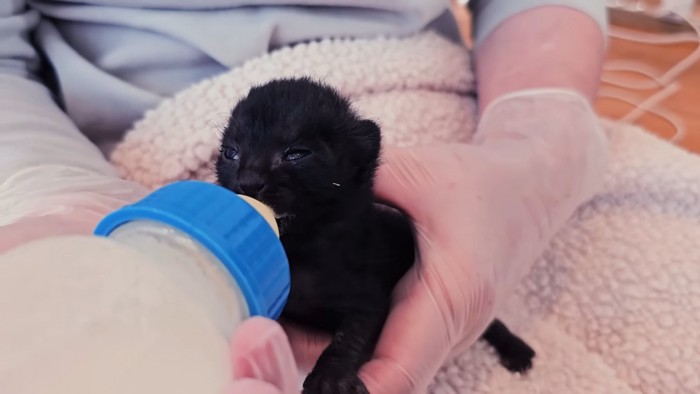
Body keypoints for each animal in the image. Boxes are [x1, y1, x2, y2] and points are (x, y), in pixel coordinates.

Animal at [216, 77, 532, 394]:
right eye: (231, 152)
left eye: (296, 153)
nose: (248, 181)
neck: (303, 250)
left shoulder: (369, 292)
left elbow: (354, 333)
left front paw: (330, 378)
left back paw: (516, 350)